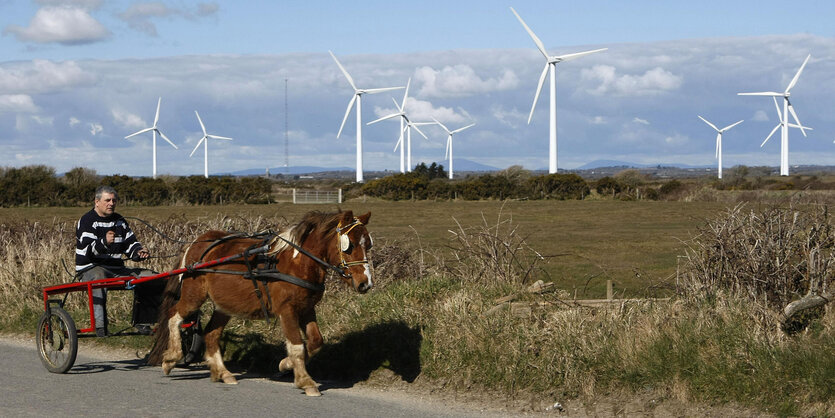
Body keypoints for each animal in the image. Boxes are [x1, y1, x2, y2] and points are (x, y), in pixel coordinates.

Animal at [149, 211, 374, 396]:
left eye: (368, 244)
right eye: (349, 245)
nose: (366, 283)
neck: (297, 262)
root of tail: (197, 242)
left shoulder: (307, 308)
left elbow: (315, 341)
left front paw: (285, 365)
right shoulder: (287, 310)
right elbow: (297, 346)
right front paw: (305, 381)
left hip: (225, 305)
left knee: (211, 334)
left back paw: (222, 372)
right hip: (193, 296)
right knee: (174, 317)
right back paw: (171, 358)